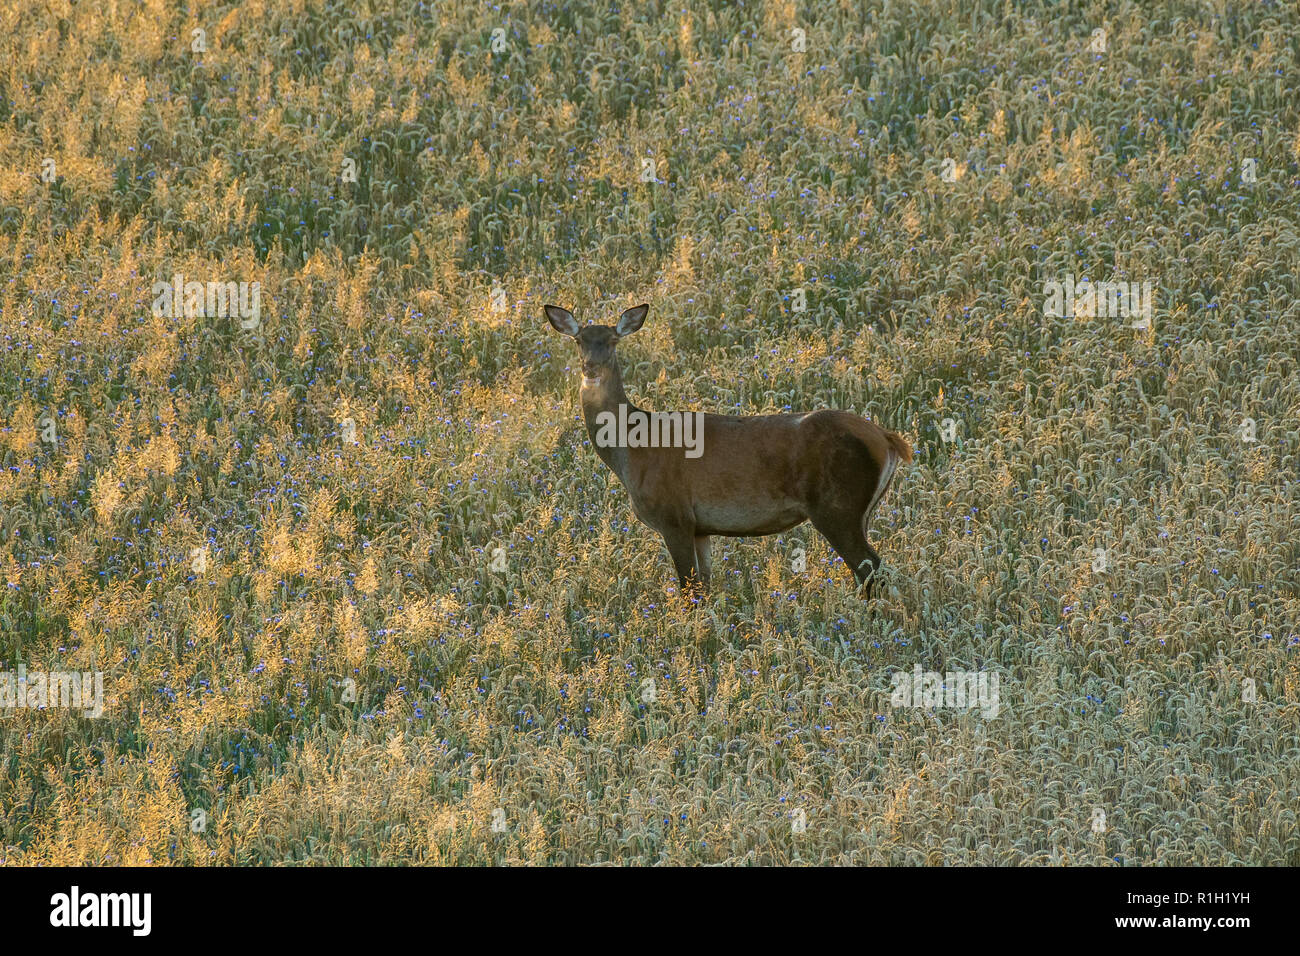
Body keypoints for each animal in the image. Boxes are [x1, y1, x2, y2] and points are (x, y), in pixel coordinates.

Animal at [545, 302, 913, 600]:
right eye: (579, 340)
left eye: (612, 341)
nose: (590, 369)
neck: (632, 449)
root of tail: (887, 438)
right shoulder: (701, 527)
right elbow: (704, 589)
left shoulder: (673, 514)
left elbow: (688, 591)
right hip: (859, 511)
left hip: (838, 506)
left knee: (872, 572)